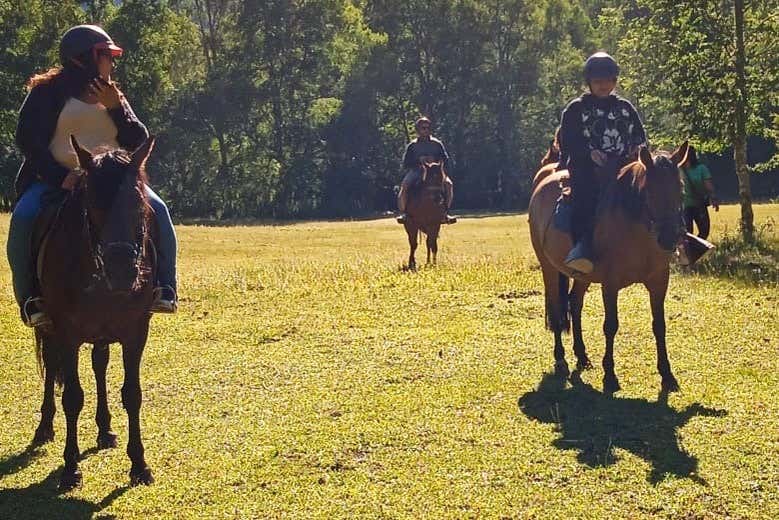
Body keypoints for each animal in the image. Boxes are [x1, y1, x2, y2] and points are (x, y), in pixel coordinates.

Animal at [34, 135, 158, 492]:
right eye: (93, 206)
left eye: (138, 205)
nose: (122, 271)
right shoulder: (67, 333)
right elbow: (72, 397)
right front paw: (70, 468)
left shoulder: (135, 332)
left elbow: (132, 394)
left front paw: (139, 465)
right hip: (49, 329)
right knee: (52, 368)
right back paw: (44, 427)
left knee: (99, 365)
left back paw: (105, 430)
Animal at [532, 143, 688, 394]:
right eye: (649, 192)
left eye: (680, 190)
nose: (669, 238)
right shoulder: (610, 283)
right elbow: (611, 326)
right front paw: (610, 375)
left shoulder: (659, 281)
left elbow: (659, 325)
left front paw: (667, 375)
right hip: (549, 269)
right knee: (557, 310)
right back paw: (560, 358)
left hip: (582, 276)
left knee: (575, 303)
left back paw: (582, 356)